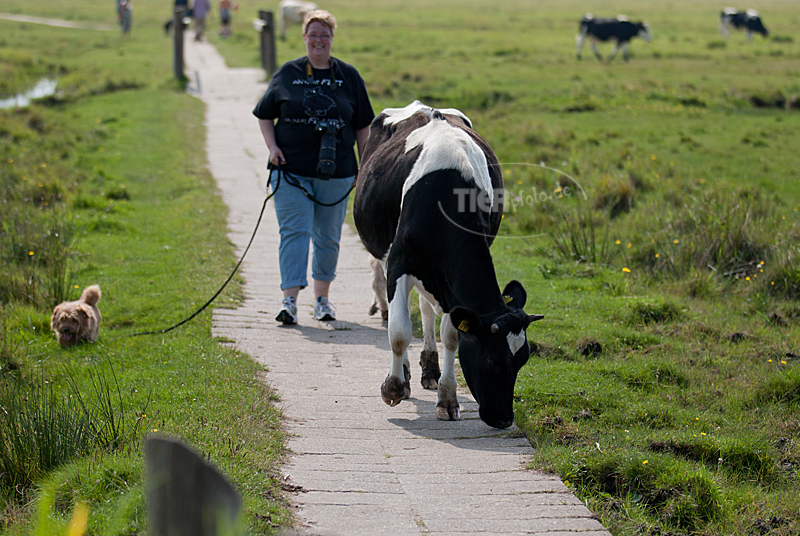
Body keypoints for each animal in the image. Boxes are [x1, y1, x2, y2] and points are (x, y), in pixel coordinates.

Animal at [354, 99, 544, 428]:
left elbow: (452, 336)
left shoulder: (450, 287)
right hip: (386, 254)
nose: (504, 419)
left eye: (522, 361)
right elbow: (399, 332)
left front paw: (448, 398)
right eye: (494, 363)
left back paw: (429, 369)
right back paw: (405, 374)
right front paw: (393, 387)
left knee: (426, 310)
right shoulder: (399, 264)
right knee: (400, 314)